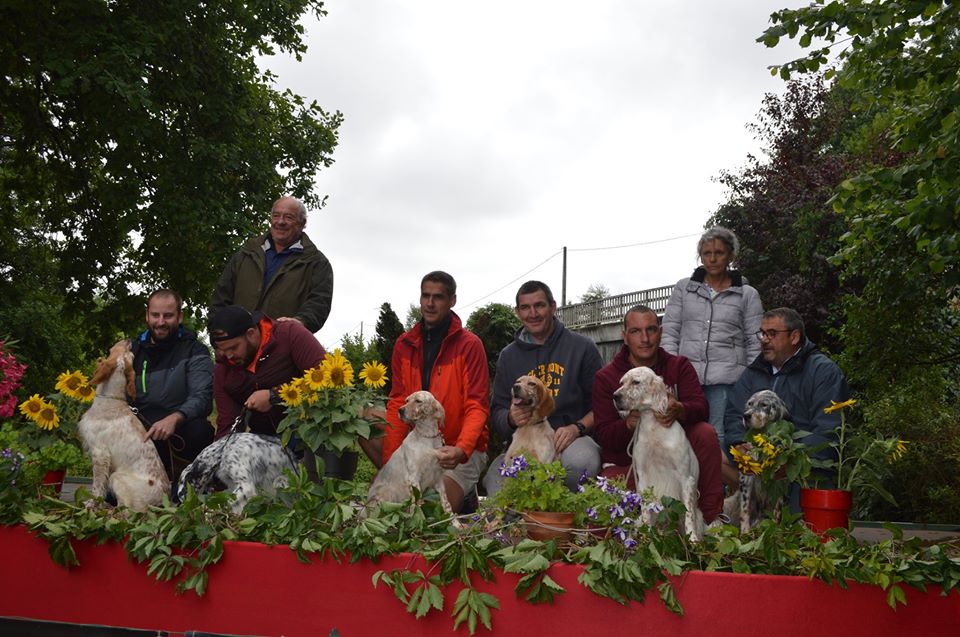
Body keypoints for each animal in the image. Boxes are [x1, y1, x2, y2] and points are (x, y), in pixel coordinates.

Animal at [79, 338, 170, 512]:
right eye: (131, 354)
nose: (128, 340)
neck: (111, 400)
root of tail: (164, 500)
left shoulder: (100, 453)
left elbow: (97, 486)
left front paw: (91, 504)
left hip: (117, 477)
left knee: (126, 511)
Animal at [616, 366, 704, 540]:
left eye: (636, 382)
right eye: (621, 383)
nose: (615, 396)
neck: (653, 429)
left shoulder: (685, 479)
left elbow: (688, 514)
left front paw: (692, 540)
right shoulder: (642, 477)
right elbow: (645, 512)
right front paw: (646, 537)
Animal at [724, 388, 792, 532]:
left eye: (764, 405)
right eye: (750, 403)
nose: (745, 416)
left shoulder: (780, 481)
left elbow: (777, 511)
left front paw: (775, 529)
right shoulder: (746, 477)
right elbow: (745, 510)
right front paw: (745, 532)